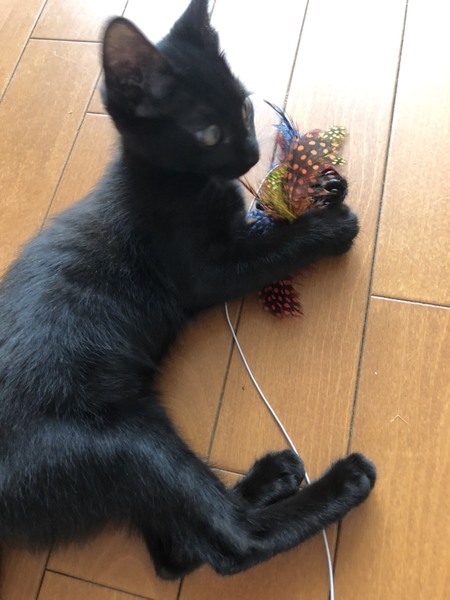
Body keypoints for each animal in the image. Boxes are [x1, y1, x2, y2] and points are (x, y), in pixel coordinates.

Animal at [0, 0, 375, 580]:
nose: (251, 153)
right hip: (126, 441)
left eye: (244, 107)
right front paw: (329, 227)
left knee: (173, 551)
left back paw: (272, 476)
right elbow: (275, 249)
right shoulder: (205, 271)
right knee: (232, 543)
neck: (173, 180)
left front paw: (321, 186)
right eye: (208, 134)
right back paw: (344, 482)